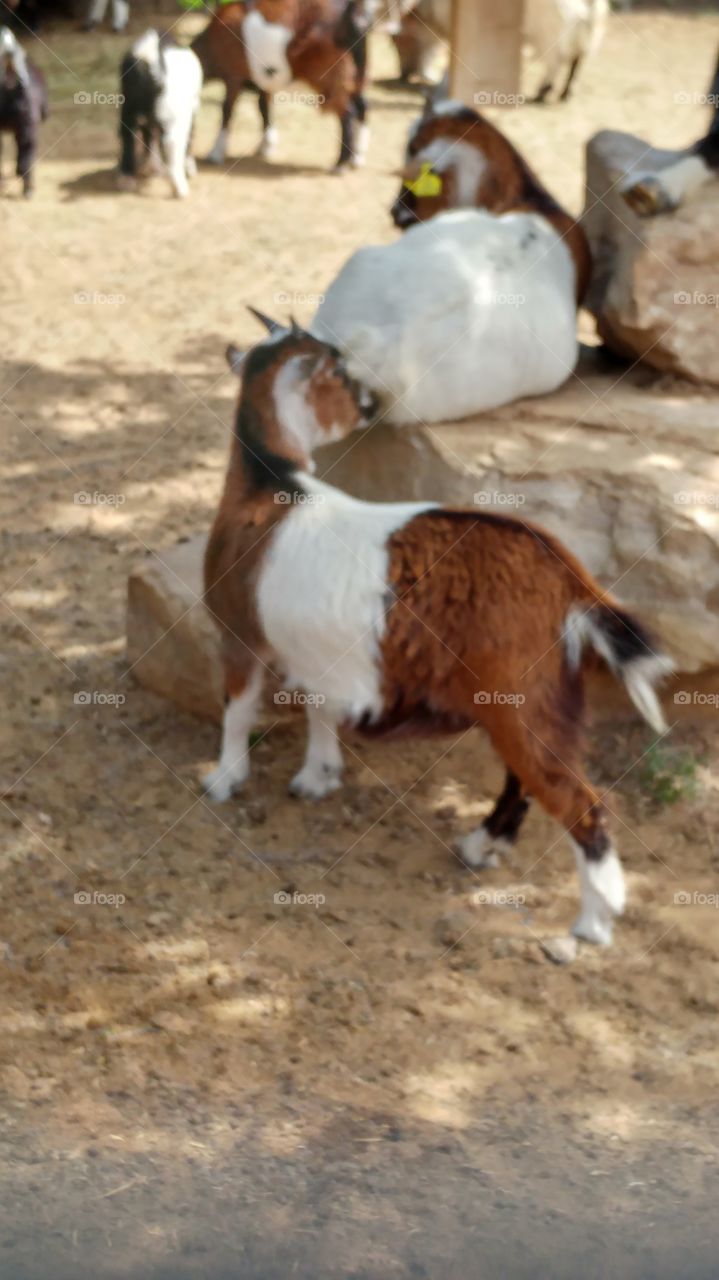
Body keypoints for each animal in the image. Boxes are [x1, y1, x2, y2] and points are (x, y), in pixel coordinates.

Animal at [118, 29, 202, 199]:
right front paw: (190, 168)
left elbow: (149, 137)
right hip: (174, 117)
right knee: (172, 142)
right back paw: (180, 190)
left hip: (127, 108)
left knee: (127, 134)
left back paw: (127, 180)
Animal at [191, 0, 370, 171]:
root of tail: (351, 13)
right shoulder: (262, 80)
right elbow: (263, 106)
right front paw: (266, 145)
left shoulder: (233, 76)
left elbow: (227, 110)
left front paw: (215, 153)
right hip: (353, 74)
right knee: (362, 105)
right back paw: (357, 158)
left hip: (331, 73)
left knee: (348, 112)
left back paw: (340, 163)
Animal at [203, 314, 672, 949]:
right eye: (341, 374)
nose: (372, 404)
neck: (269, 483)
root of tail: (567, 577)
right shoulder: (317, 653)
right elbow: (318, 707)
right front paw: (317, 776)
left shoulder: (239, 633)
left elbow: (237, 709)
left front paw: (223, 780)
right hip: (536, 693)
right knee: (529, 774)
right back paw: (483, 844)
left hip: (516, 693)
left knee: (581, 800)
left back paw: (592, 924)